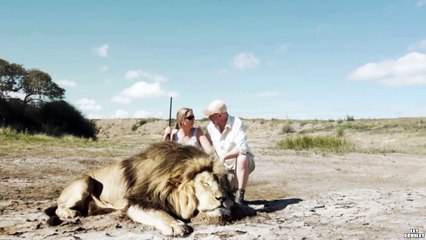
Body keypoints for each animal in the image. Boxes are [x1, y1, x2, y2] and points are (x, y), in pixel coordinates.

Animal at [44, 141, 250, 236]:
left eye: (221, 184)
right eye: (204, 183)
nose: (222, 198)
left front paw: (242, 206)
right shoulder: (136, 201)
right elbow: (158, 212)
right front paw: (175, 225)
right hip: (85, 181)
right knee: (59, 207)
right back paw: (70, 213)